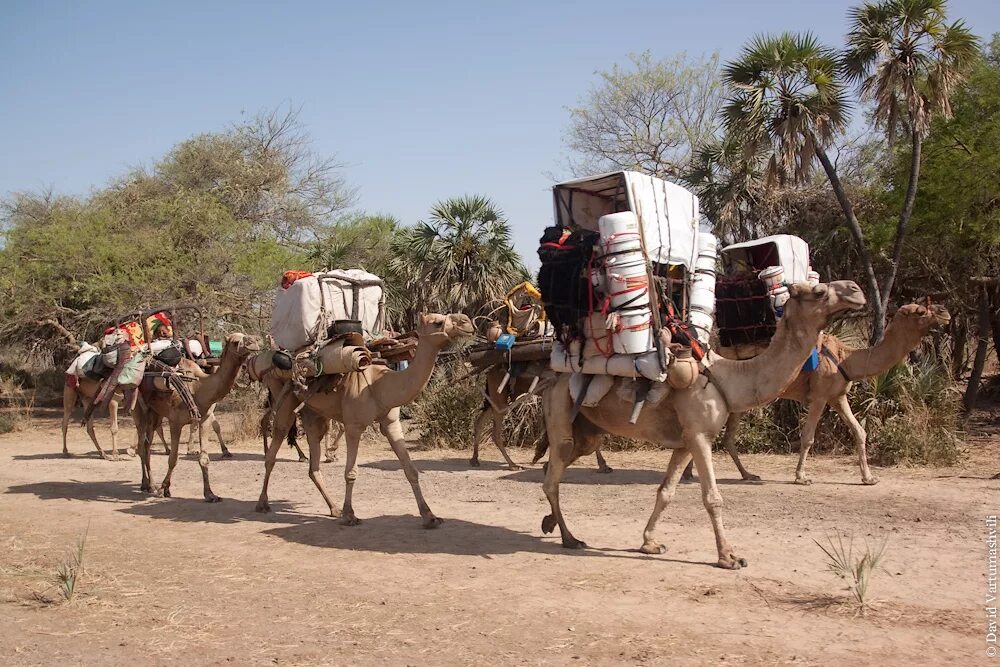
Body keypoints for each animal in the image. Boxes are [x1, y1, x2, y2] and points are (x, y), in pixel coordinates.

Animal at [134, 334, 262, 500]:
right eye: (235, 342)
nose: (254, 343)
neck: (198, 387)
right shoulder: (175, 422)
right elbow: (173, 459)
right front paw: (164, 489)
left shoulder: (204, 420)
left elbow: (204, 459)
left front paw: (210, 494)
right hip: (139, 409)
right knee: (142, 446)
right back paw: (148, 485)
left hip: (155, 413)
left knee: (147, 444)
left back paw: (150, 484)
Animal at [254, 316, 472, 528]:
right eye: (437, 322)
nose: (467, 322)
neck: (380, 385)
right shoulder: (354, 426)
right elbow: (351, 472)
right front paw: (350, 515)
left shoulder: (391, 422)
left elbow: (411, 470)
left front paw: (430, 517)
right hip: (281, 395)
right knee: (274, 448)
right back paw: (263, 503)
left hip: (313, 413)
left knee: (313, 462)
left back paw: (333, 508)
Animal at [470, 360, 608, 474]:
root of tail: (489, 373)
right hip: (499, 396)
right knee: (495, 433)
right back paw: (513, 465)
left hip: (497, 399)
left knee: (479, 421)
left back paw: (475, 459)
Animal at [540, 280, 868, 568]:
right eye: (819, 290)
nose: (856, 290)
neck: (728, 378)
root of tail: (551, 378)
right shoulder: (700, 436)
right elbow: (712, 498)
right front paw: (729, 557)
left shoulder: (686, 442)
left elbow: (666, 492)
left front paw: (649, 543)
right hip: (560, 409)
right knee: (553, 476)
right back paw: (570, 538)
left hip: (587, 432)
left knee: (557, 466)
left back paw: (550, 523)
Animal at [684, 302, 948, 486]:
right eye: (920, 311)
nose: (945, 313)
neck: (846, 358)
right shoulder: (819, 396)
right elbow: (808, 436)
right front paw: (801, 477)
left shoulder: (838, 396)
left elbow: (859, 431)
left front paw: (869, 478)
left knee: (724, 437)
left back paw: (744, 474)